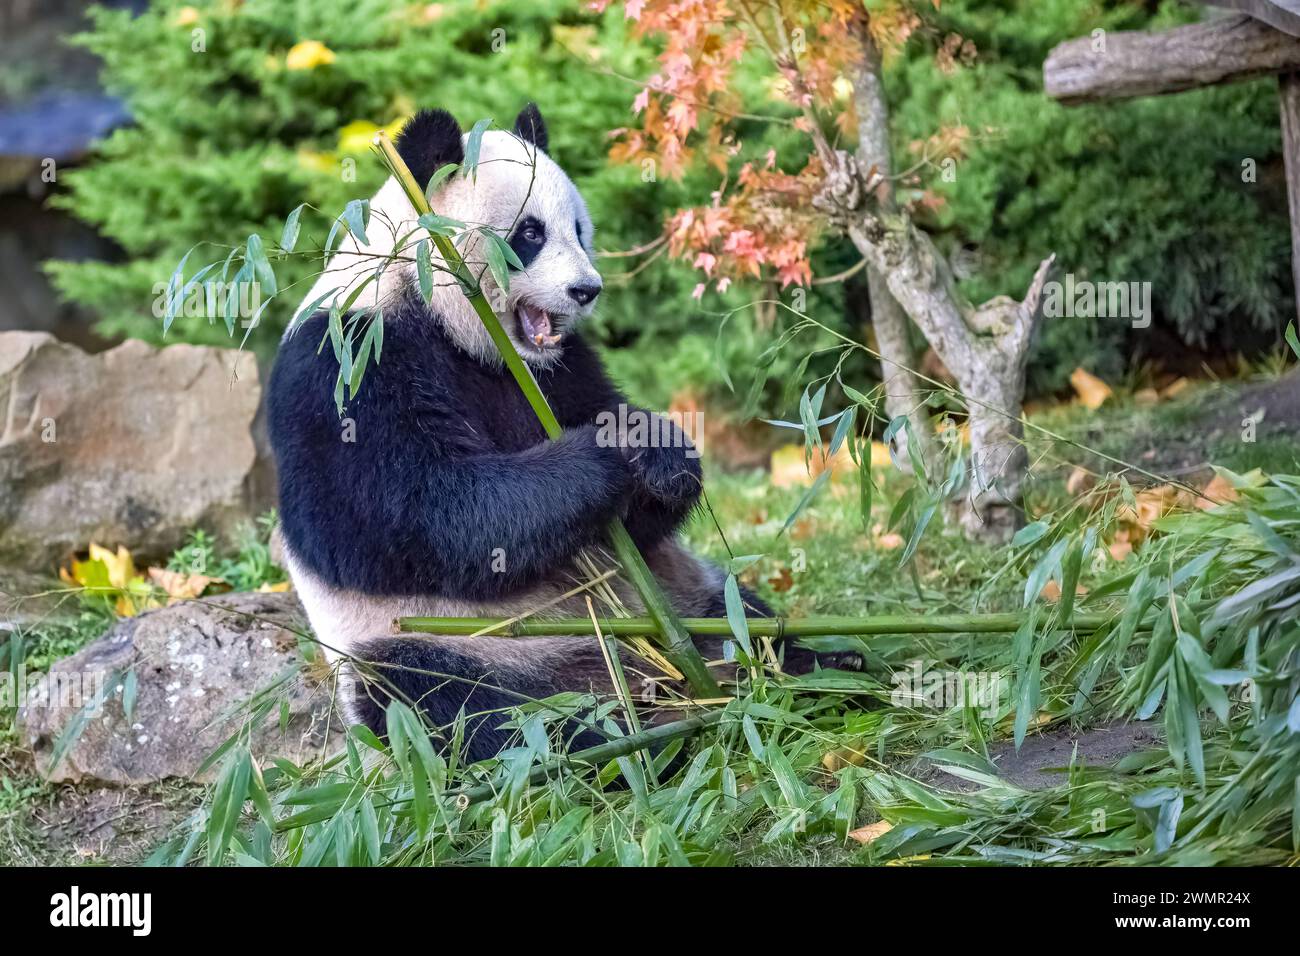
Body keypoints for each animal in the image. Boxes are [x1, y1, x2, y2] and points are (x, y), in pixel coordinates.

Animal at [267, 106, 821, 764]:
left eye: (579, 230)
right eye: (530, 233)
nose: (586, 290)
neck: (456, 328)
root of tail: (624, 671)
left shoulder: (560, 366)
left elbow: (632, 507)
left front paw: (657, 452)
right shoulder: (349, 358)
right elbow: (407, 512)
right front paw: (602, 456)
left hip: (690, 596)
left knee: (748, 622)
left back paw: (817, 670)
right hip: (446, 643)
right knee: (447, 705)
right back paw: (612, 743)